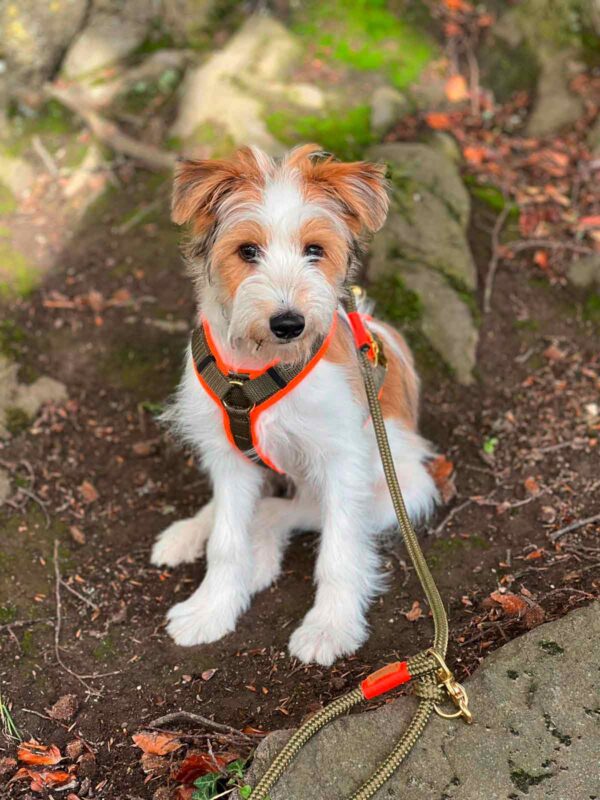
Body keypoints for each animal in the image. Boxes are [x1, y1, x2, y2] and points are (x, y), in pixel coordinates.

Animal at [152, 142, 438, 664]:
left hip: (400, 487)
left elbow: (339, 550)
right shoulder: (230, 457)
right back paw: (195, 533)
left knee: (297, 509)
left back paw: (264, 543)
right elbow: (226, 541)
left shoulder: (341, 459)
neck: (257, 368)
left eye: (314, 251)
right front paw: (210, 609)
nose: (289, 323)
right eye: (247, 251)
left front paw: (331, 627)